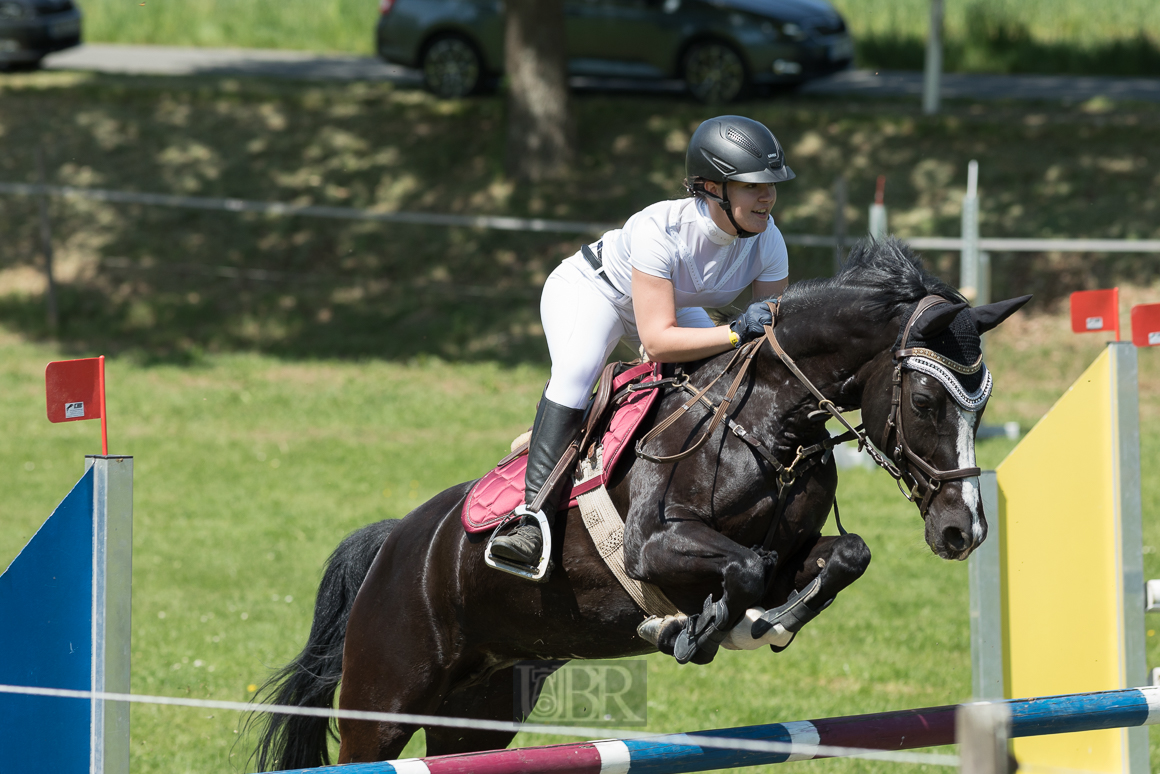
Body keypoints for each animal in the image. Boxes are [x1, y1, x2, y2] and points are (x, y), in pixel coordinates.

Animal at [249, 240, 1030, 770]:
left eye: (981, 405)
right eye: (926, 401)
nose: (963, 530)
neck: (767, 423)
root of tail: (393, 544)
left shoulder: (793, 552)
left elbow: (842, 555)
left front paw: (766, 623)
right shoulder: (655, 546)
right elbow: (741, 568)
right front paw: (702, 627)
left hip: (479, 709)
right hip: (383, 699)